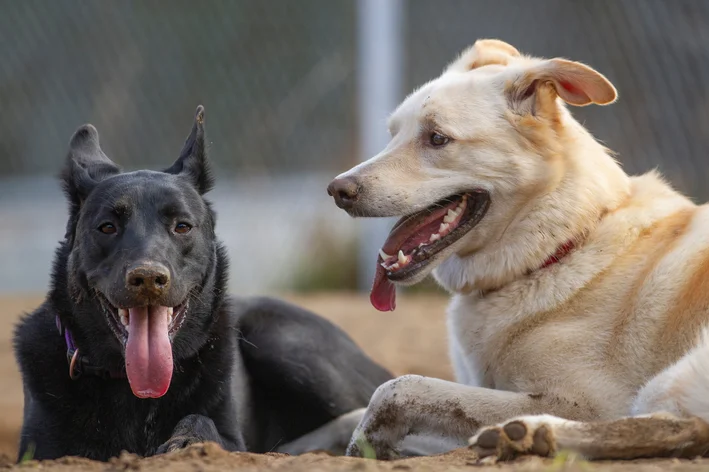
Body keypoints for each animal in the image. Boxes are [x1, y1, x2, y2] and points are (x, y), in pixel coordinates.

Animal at [13, 106, 392, 460]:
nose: (148, 277)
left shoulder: (234, 439)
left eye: (182, 226)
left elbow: (202, 421)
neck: (135, 388)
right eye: (107, 227)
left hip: (286, 342)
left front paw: (186, 442)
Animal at [324, 38, 708, 460]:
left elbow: (399, 387)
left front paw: (367, 443)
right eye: (393, 133)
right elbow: (362, 410)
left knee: (683, 427)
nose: (337, 191)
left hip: (672, 377)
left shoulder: (586, 401)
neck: (557, 251)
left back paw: (531, 433)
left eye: (437, 138)